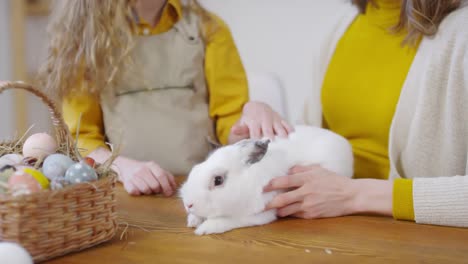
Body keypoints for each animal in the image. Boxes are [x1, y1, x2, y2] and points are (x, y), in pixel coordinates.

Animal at [179, 125, 352, 235]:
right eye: (197, 168)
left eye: (218, 180)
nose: (188, 204)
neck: (248, 182)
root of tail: (344, 143)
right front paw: (193, 220)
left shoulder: (259, 212)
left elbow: (228, 219)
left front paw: (204, 229)